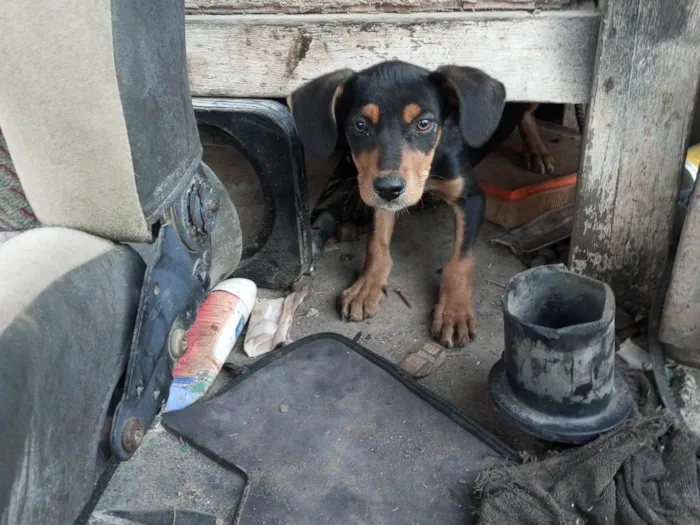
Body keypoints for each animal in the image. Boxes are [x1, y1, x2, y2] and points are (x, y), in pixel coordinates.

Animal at [290, 60, 536, 348]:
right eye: (359, 125)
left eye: (424, 123)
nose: (390, 188)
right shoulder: (375, 192)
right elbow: (377, 244)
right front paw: (367, 285)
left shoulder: (472, 198)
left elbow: (460, 261)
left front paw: (454, 311)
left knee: (528, 115)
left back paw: (538, 152)